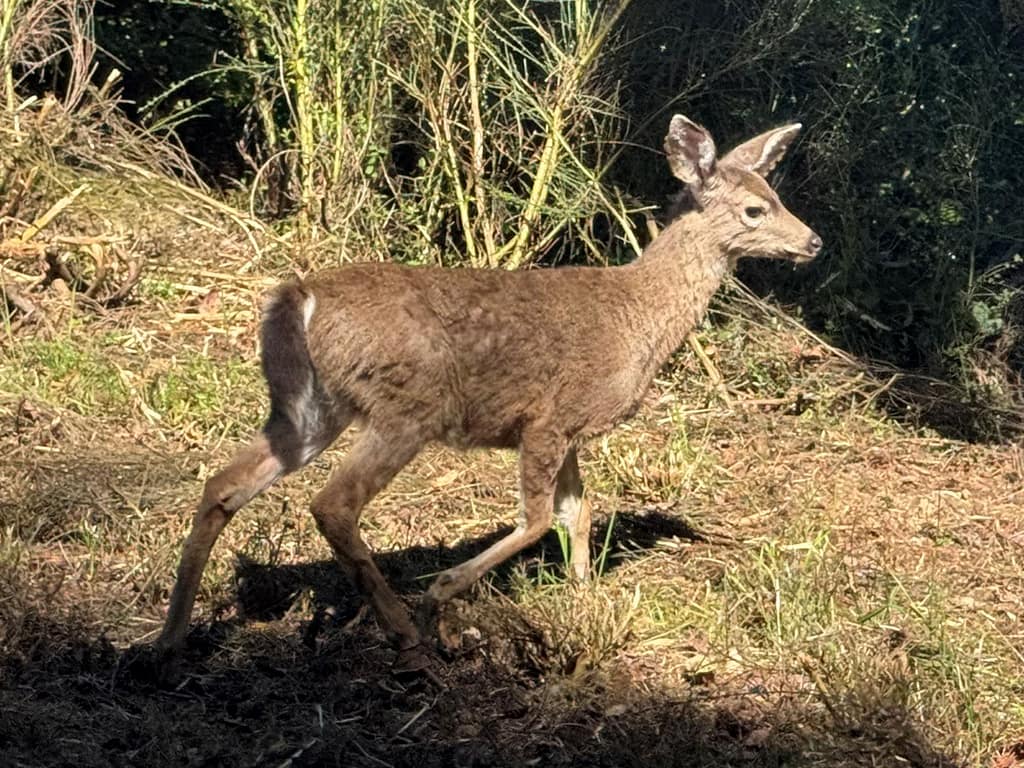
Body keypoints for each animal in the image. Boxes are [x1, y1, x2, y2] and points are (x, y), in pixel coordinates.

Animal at [154, 115, 822, 674]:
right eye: (756, 209)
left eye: (779, 196)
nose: (813, 241)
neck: (637, 320)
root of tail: (298, 297)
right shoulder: (547, 418)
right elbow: (536, 518)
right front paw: (442, 596)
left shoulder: (568, 429)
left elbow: (577, 512)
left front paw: (583, 595)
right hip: (405, 407)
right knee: (333, 503)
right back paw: (405, 633)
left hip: (315, 409)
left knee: (224, 484)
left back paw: (168, 641)